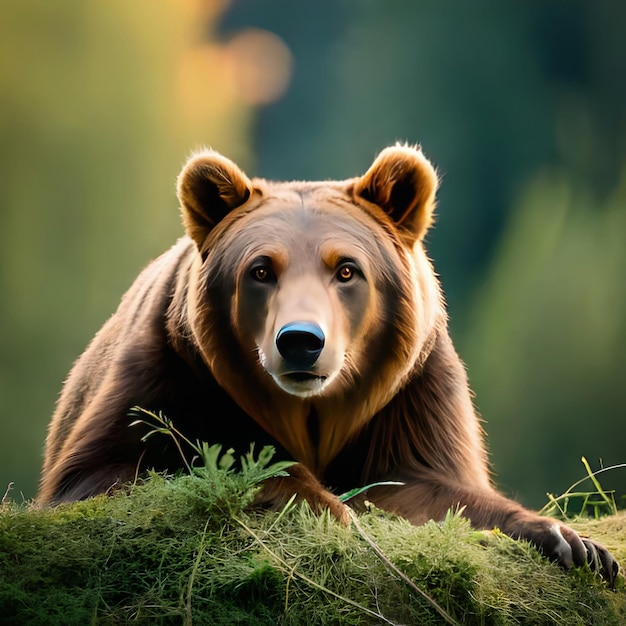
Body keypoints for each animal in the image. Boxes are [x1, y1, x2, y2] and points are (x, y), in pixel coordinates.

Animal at [37, 144, 616, 584]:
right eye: (261, 269)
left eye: (346, 269)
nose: (300, 341)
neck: (311, 412)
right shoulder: (170, 373)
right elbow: (116, 467)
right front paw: (322, 504)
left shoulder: (410, 395)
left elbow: (429, 486)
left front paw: (573, 542)